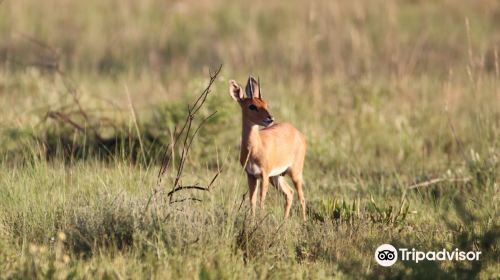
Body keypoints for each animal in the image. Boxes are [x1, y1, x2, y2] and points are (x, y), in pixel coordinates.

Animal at [229, 76, 306, 221]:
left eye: (265, 104)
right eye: (252, 106)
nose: (270, 118)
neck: (254, 148)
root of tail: (298, 133)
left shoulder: (264, 175)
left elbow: (261, 200)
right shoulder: (251, 175)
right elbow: (252, 200)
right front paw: (252, 222)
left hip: (294, 173)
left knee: (302, 197)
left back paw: (304, 222)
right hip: (276, 177)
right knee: (289, 193)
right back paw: (284, 222)